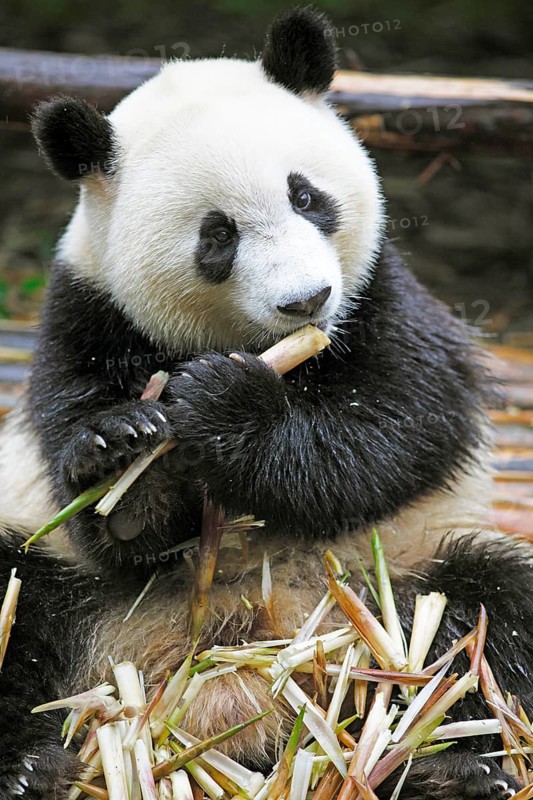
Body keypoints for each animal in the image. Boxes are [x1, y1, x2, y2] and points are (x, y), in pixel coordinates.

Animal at [0, 6, 532, 799]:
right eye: (216, 235)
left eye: (305, 196)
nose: (306, 300)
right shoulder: (85, 315)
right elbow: (102, 508)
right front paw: (124, 454)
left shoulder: (381, 299)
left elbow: (389, 433)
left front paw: (224, 406)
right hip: (74, 592)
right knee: (17, 596)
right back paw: (29, 766)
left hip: (406, 570)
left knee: (489, 610)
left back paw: (456, 765)